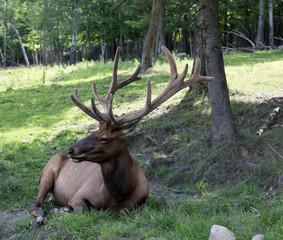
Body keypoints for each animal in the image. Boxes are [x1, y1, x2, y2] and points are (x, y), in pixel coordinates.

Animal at [30, 46, 214, 222]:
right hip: (47, 173)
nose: (71, 150)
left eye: (103, 138)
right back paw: (43, 213)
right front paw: (60, 211)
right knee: (36, 201)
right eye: (93, 131)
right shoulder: (79, 194)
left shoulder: (139, 202)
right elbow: (84, 210)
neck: (118, 196)